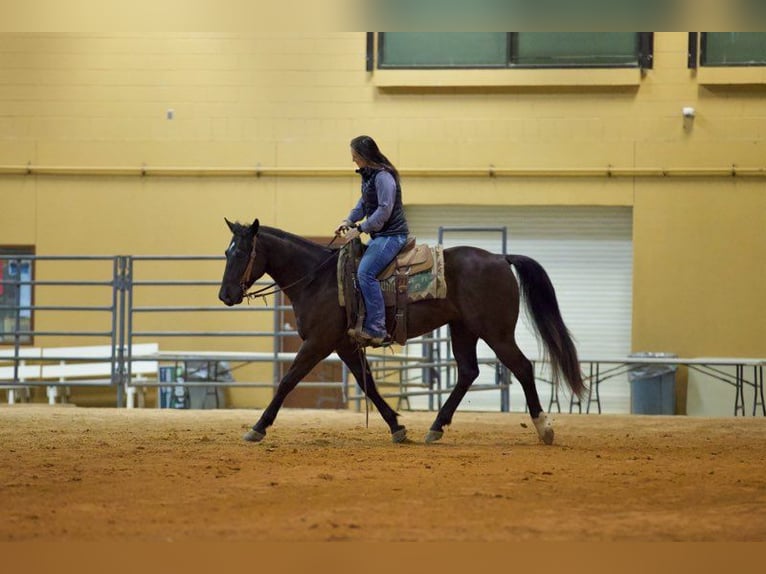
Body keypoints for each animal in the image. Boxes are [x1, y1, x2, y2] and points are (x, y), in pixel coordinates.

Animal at [219, 219, 584, 446]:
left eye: (241, 252)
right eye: (226, 251)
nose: (225, 295)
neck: (317, 279)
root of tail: (500, 257)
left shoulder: (318, 342)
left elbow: (288, 380)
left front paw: (257, 428)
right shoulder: (344, 346)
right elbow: (369, 385)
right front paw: (397, 427)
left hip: (496, 332)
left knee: (522, 367)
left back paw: (544, 428)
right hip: (463, 329)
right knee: (468, 372)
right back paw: (436, 428)